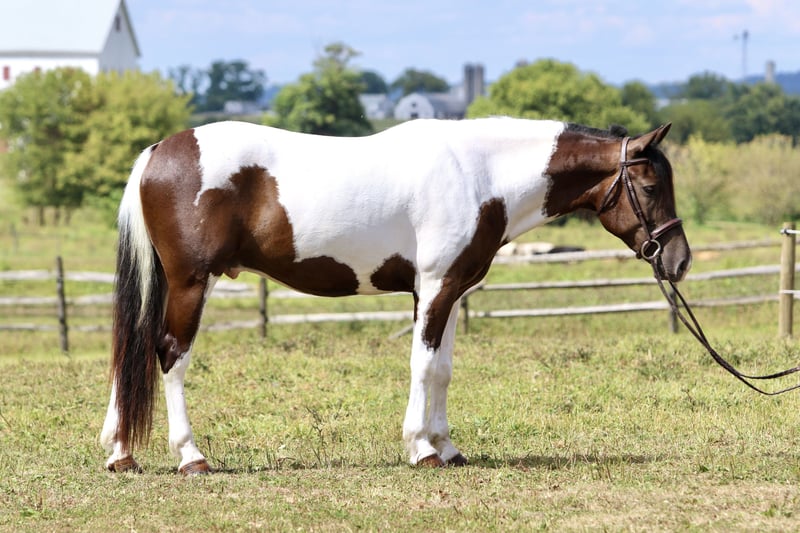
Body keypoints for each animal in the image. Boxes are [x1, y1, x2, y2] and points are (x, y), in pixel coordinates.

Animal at [100, 117, 691, 474]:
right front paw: (421, 449)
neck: (480, 175)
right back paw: (190, 457)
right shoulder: (433, 289)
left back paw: (120, 453)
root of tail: (160, 150)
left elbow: (443, 370)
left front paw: (447, 447)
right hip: (191, 283)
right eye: (651, 186)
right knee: (169, 355)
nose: (679, 260)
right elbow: (422, 366)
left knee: (132, 351)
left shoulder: (450, 291)